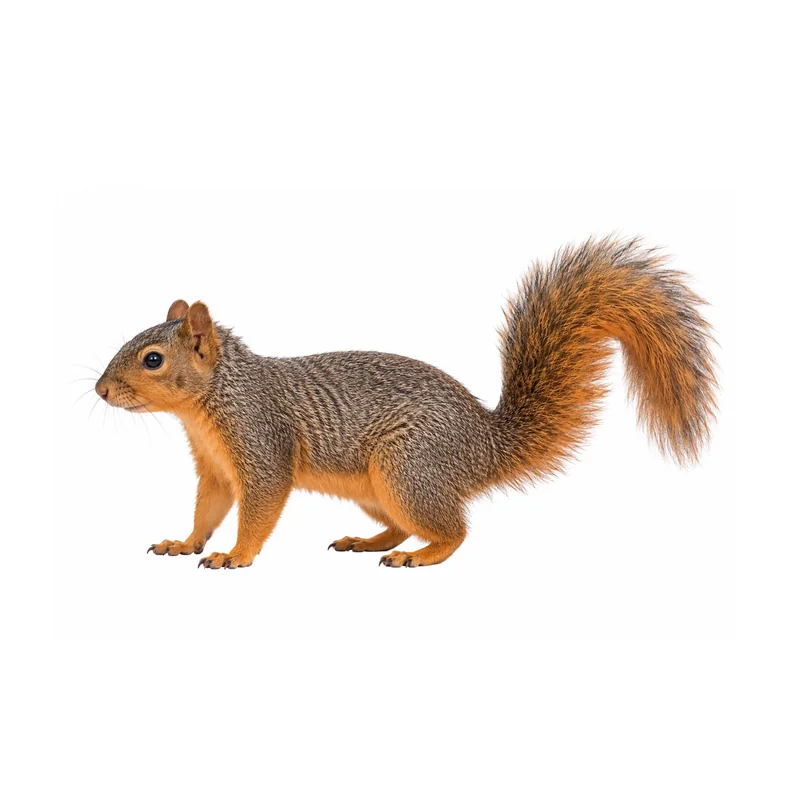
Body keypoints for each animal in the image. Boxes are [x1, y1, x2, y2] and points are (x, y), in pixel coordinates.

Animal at [95, 235, 718, 570]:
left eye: (152, 359)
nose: (101, 391)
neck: (211, 404)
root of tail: (485, 446)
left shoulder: (261, 445)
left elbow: (260, 509)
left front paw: (236, 555)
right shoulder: (217, 469)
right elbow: (209, 509)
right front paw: (184, 542)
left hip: (408, 466)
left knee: (453, 530)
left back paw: (418, 556)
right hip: (379, 486)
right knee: (400, 525)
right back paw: (367, 540)